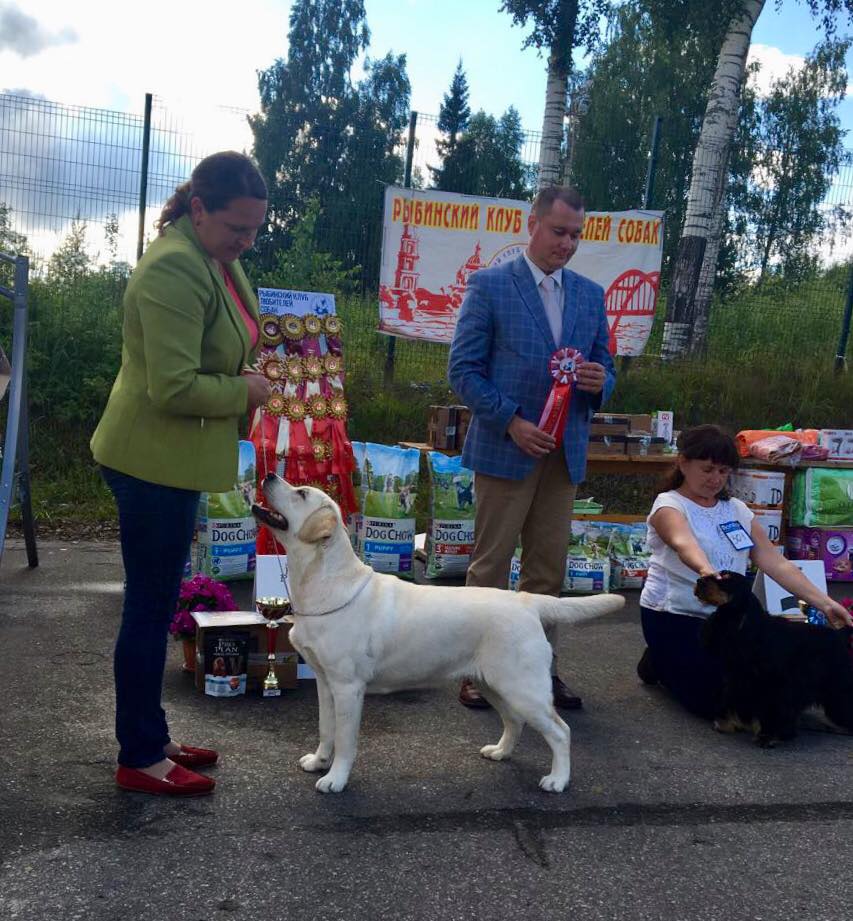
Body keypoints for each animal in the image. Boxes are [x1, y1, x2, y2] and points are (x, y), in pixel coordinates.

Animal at [252, 474, 624, 794]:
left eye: (301, 494)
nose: (269, 475)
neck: (324, 582)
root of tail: (526, 600)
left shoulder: (347, 687)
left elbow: (345, 740)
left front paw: (335, 779)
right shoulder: (324, 681)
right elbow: (326, 728)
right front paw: (318, 761)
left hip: (524, 688)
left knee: (561, 731)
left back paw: (558, 780)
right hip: (493, 684)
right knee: (514, 721)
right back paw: (500, 752)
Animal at [696, 571, 853, 746]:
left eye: (726, 578)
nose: (699, 580)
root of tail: (840, 634)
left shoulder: (774, 687)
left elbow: (773, 711)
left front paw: (768, 735)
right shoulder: (737, 680)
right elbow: (730, 699)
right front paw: (726, 723)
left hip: (838, 684)